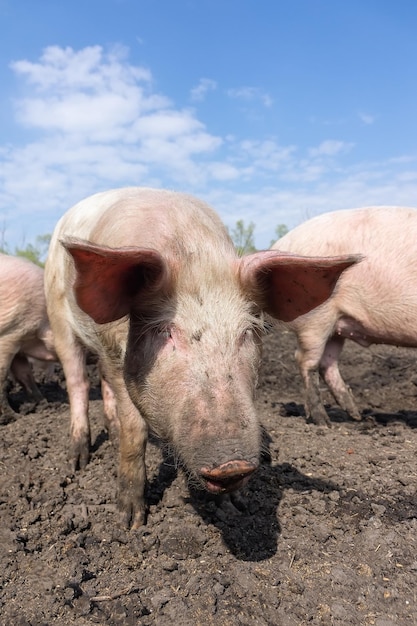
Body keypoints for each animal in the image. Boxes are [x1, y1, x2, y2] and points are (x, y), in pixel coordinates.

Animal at [0, 251, 57, 422]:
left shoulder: (20, 343)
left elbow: (25, 375)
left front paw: (45, 406)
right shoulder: (8, 334)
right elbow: (2, 375)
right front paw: (13, 417)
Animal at [44, 186, 358, 528]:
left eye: (247, 331)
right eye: (165, 331)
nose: (232, 464)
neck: (191, 251)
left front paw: (236, 507)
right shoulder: (115, 352)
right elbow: (135, 431)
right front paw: (130, 520)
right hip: (58, 317)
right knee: (77, 382)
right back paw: (77, 460)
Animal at [272, 207, 417, 426]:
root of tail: (282, 242)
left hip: (337, 325)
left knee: (327, 363)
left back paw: (357, 416)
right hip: (316, 318)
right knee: (305, 361)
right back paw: (323, 422)